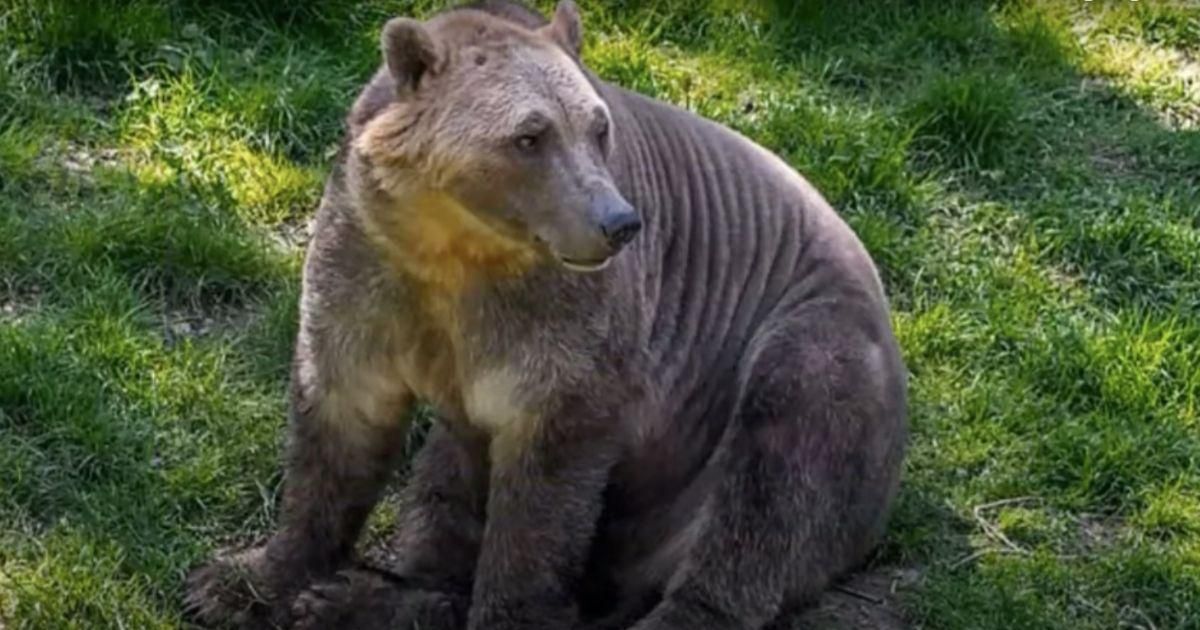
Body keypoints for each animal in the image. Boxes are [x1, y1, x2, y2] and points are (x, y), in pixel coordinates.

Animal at [184, 1, 908, 629]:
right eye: (530, 135)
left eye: (597, 127)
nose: (617, 222)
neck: (453, 247)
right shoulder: (369, 263)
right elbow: (340, 414)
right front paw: (238, 582)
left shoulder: (567, 324)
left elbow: (546, 482)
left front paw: (507, 610)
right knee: (444, 479)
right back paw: (362, 601)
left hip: (809, 348)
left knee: (774, 472)